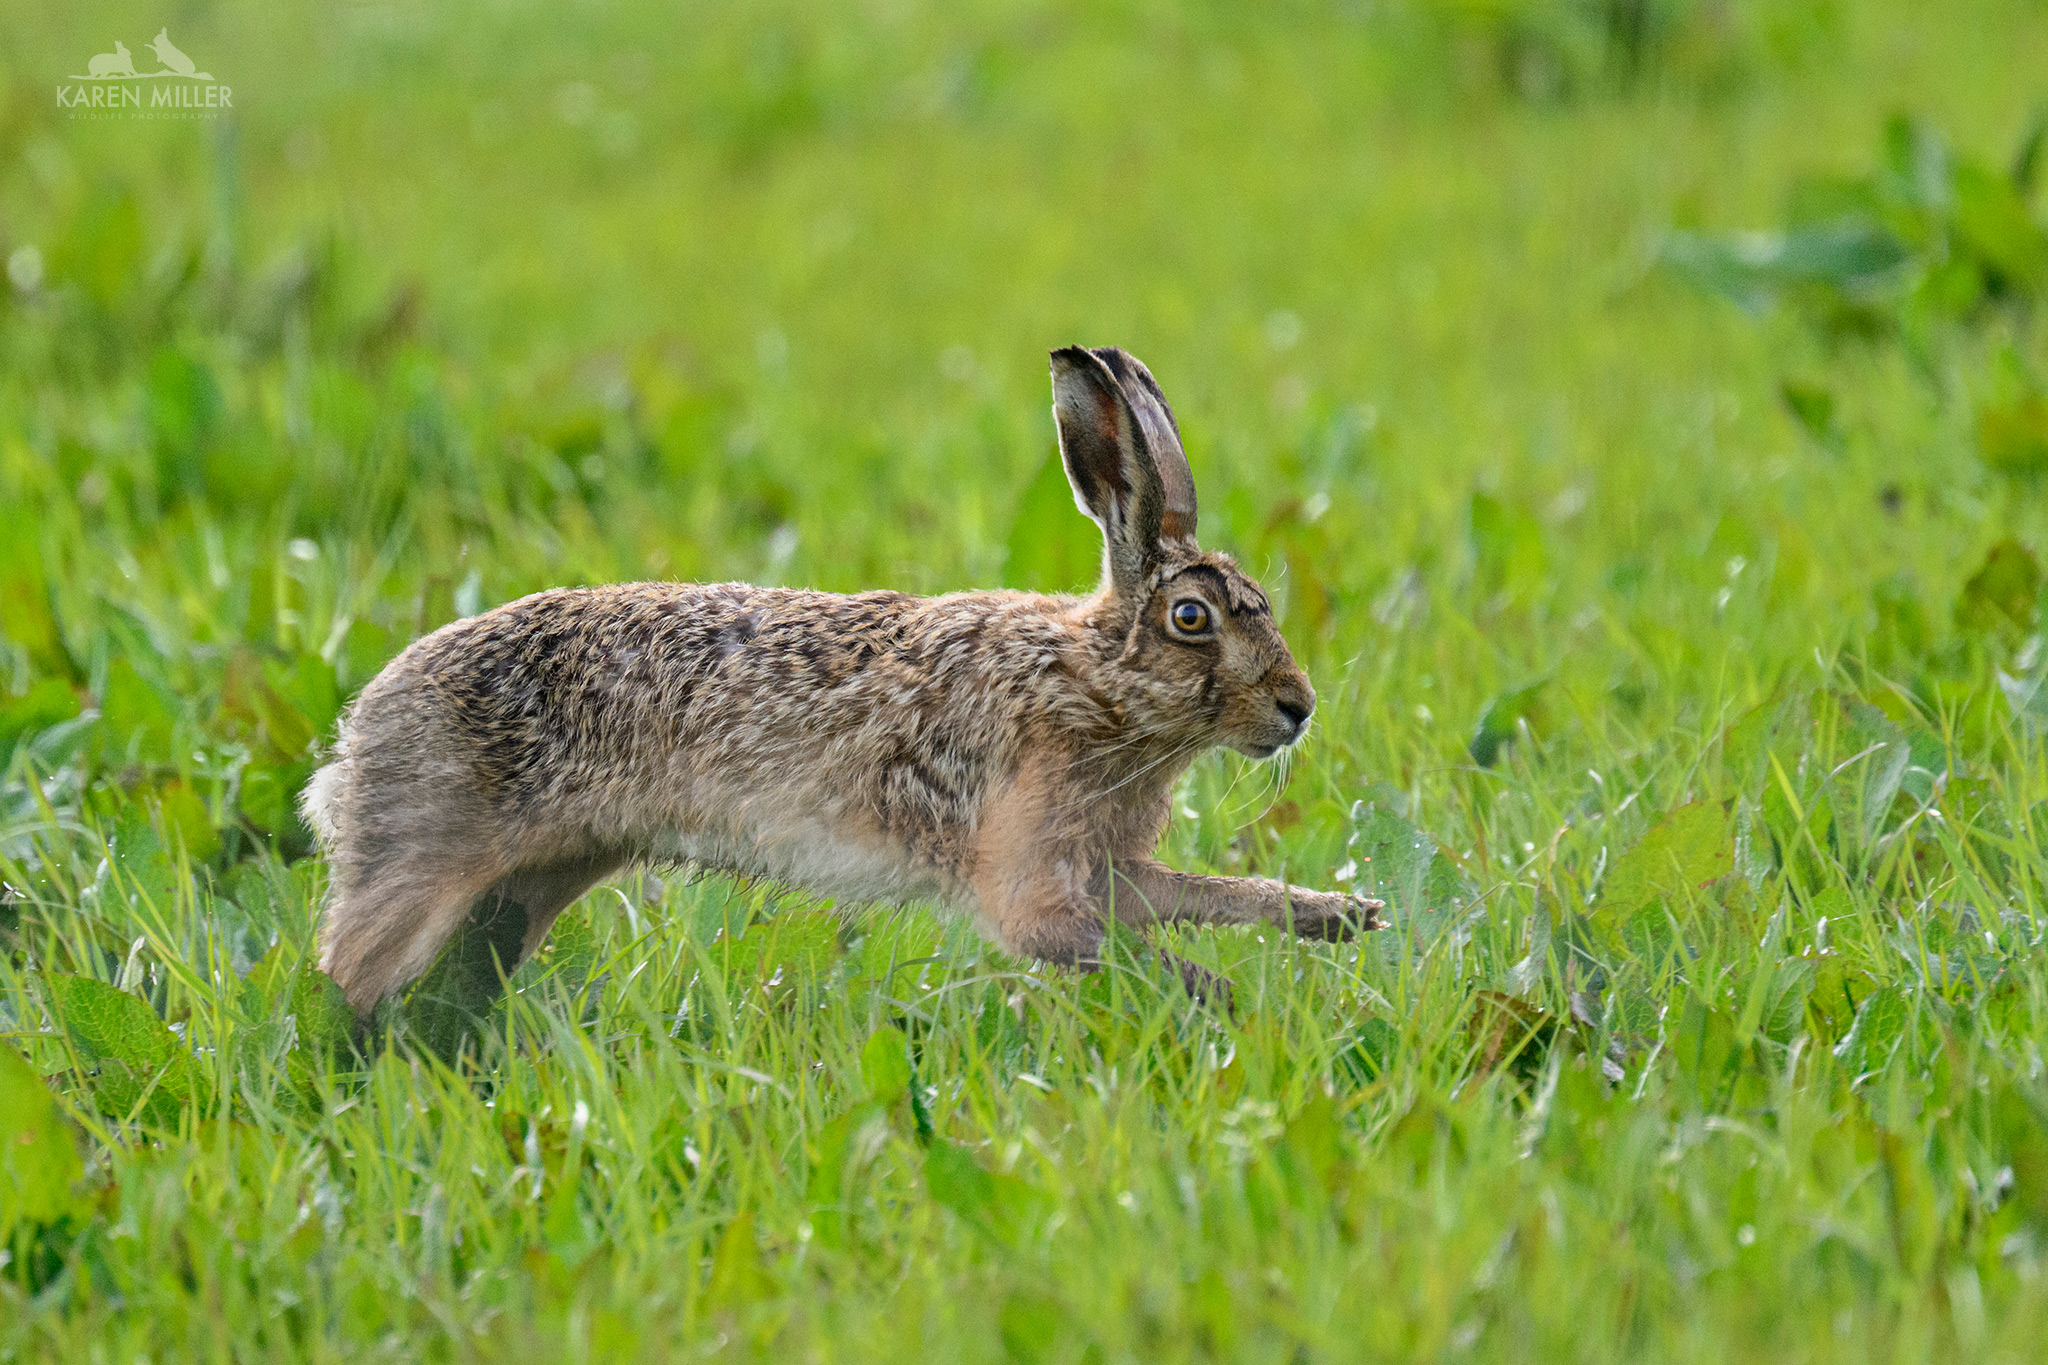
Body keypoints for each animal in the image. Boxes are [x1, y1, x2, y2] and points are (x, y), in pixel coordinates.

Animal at [303, 346, 1386, 1020]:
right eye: (1192, 619)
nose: (1296, 708)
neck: (1093, 683)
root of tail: (358, 732)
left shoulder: (1102, 863)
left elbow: (1203, 893)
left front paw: (1338, 919)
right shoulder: (1030, 876)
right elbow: (1096, 943)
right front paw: (1234, 1003)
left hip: (528, 885)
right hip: (427, 861)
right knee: (347, 969)